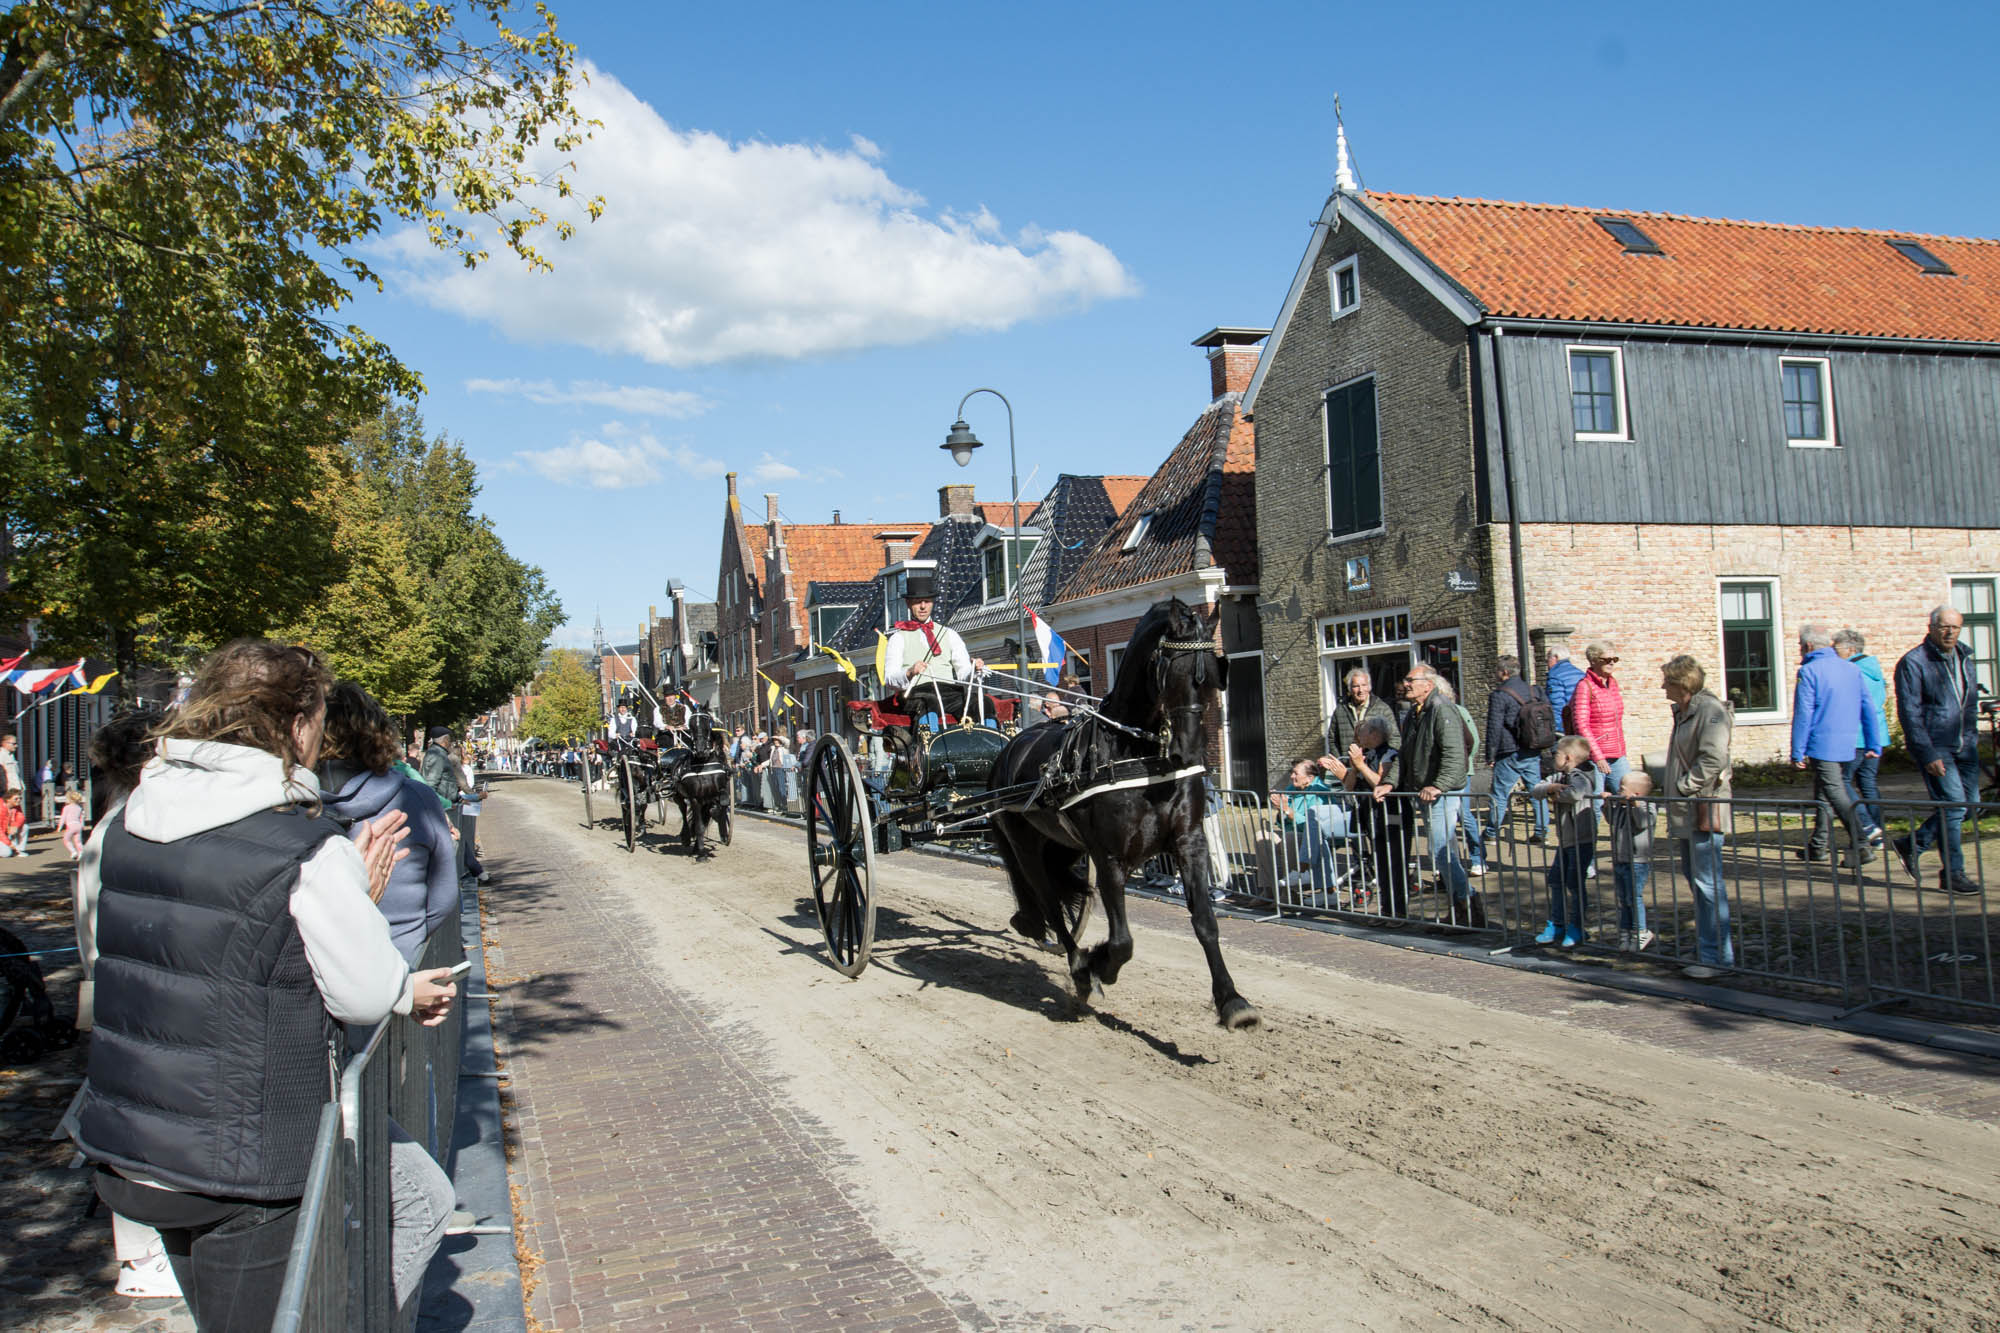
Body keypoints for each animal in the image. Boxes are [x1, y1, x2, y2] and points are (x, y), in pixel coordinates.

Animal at [987, 598, 1260, 1030]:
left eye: (1216, 676)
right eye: (1172, 671)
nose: (1189, 752)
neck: (1137, 754)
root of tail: (1009, 750)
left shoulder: (1190, 842)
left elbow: (1206, 922)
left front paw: (1233, 1001)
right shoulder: (1109, 857)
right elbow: (1122, 942)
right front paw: (1097, 965)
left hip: (1061, 847)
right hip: (1025, 848)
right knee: (1049, 905)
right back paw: (1080, 970)